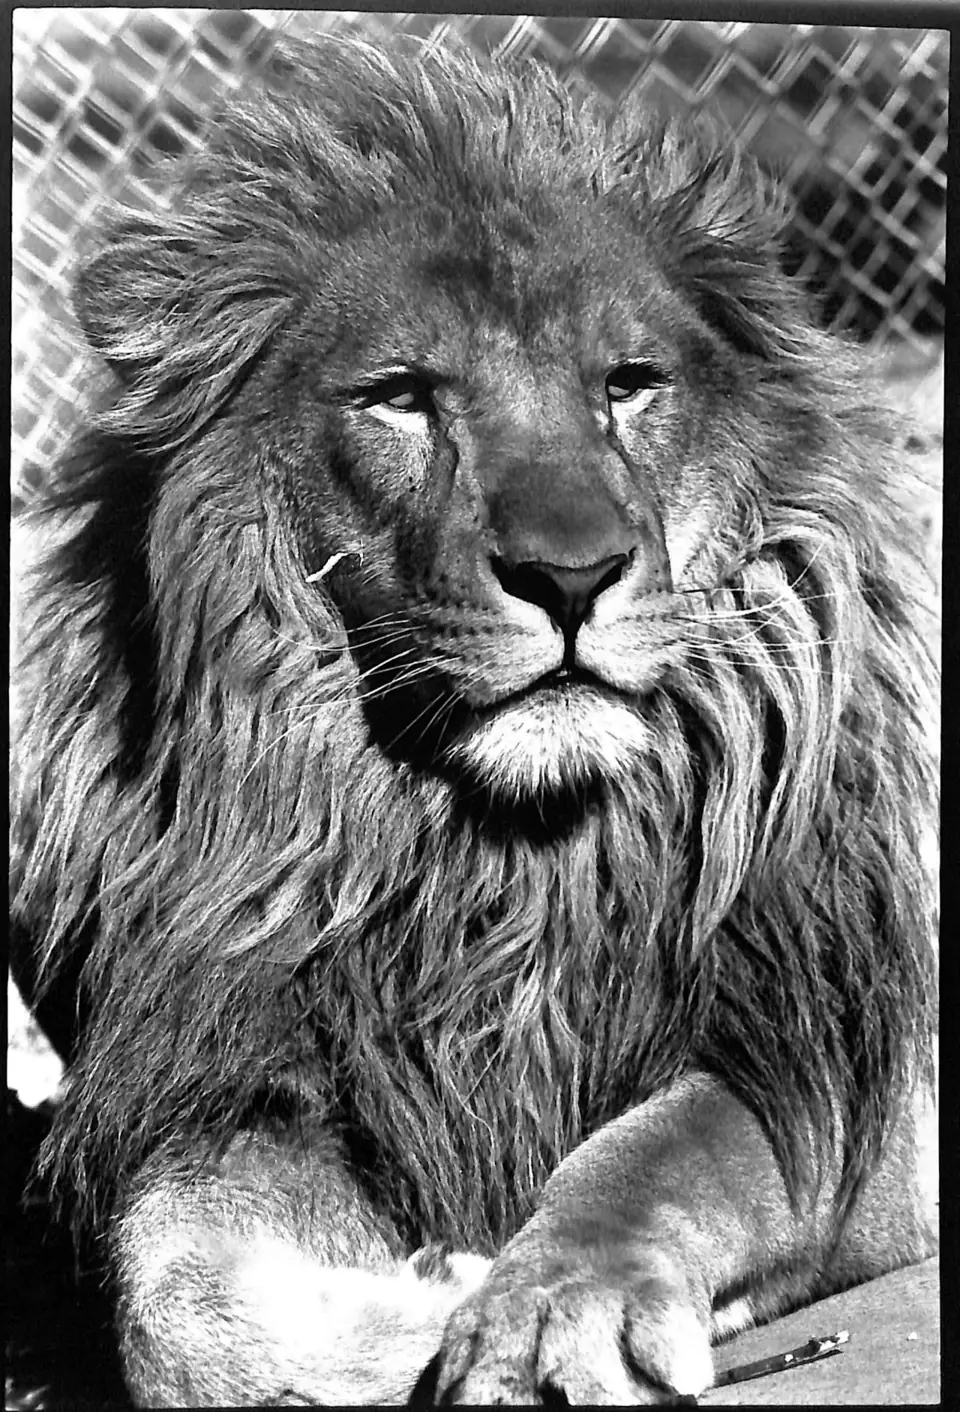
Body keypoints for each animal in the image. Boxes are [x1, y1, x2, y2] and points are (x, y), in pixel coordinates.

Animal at [11, 34, 937, 1407]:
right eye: (401, 397)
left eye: (629, 387)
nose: (570, 573)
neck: (496, 864)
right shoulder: (241, 1069)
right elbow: (175, 1298)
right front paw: (418, 1305)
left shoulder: (842, 1062)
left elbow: (670, 1148)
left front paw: (554, 1302)